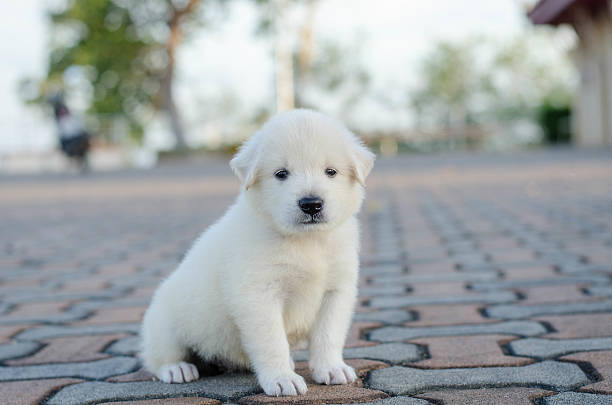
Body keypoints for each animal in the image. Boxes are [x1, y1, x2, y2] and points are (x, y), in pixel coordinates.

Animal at [141, 108, 376, 394]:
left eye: (331, 171)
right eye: (281, 173)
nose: (311, 204)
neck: (306, 242)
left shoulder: (336, 291)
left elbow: (328, 335)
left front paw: (331, 368)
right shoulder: (259, 295)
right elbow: (272, 341)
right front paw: (282, 379)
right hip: (163, 326)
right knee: (159, 357)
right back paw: (178, 369)